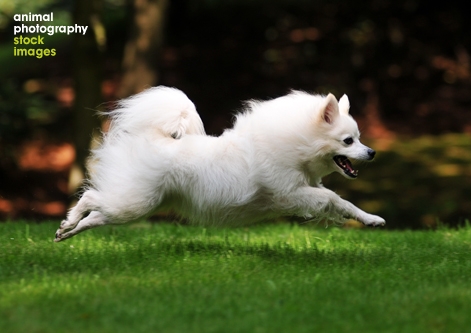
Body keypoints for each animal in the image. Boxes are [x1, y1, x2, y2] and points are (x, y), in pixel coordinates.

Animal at [55, 86, 386, 241]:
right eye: (348, 141)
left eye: (359, 138)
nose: (371, 152)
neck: (297, 142)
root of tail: (152, 136)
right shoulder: (292, 192)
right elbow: (335, 199)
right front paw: (369, 218)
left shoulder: (305, 191)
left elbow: (341, 204)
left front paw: (370, 219)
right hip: (135, 202)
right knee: (91, 197)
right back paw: (69, 222)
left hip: (137, 207)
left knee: (97, 216)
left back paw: (67, 231)